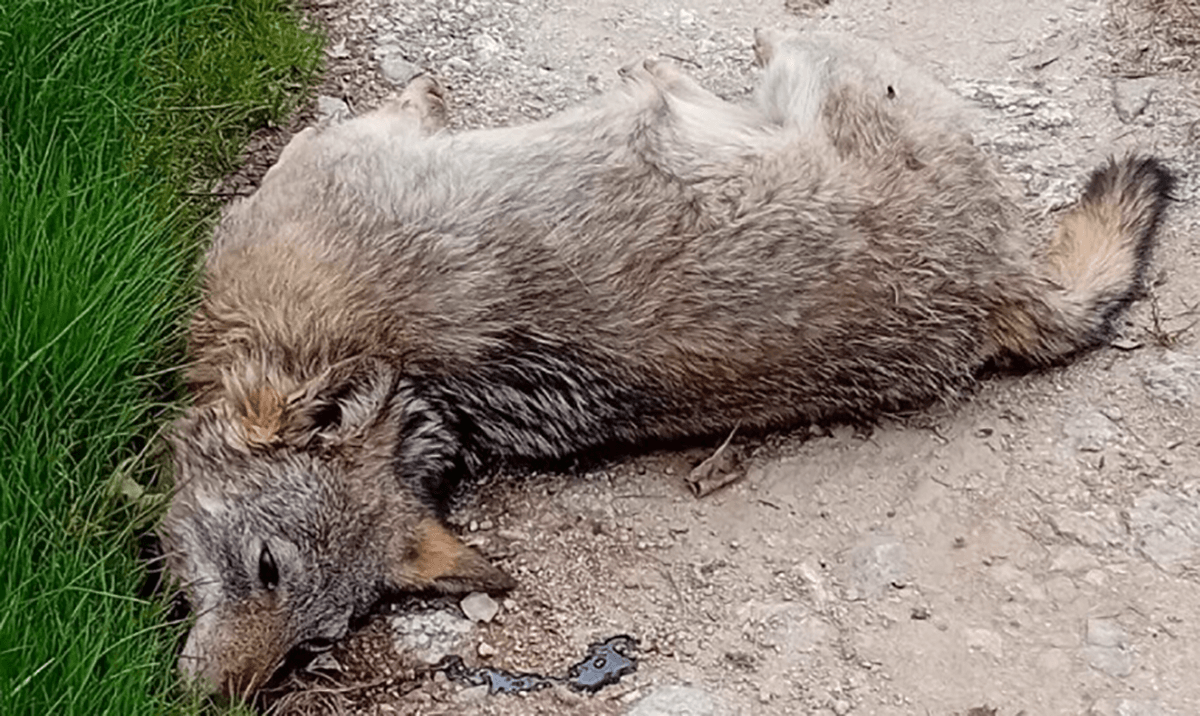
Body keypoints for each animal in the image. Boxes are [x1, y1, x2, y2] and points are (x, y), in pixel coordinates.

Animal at [161, 29, 1173, 699]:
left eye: (303, 628)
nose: (211, 697)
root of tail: (1004, 281)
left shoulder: (330, 156)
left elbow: (406, 109)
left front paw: (430, 97)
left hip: (825, 71)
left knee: (786, 39)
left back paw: (676, 68)